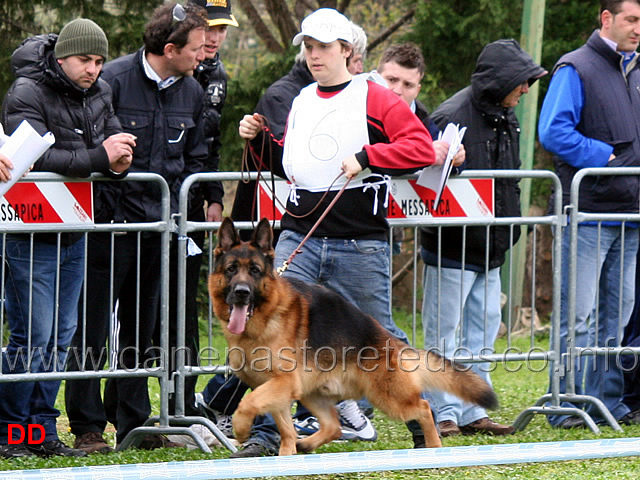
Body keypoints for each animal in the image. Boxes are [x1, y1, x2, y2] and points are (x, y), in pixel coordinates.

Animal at [208, 219, 498, 456]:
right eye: (232, 269)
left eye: (255, 271)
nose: (242, 292)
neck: (265, 319)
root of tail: (391, 341)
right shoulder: (278, 390)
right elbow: (285, 428)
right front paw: (285, 454)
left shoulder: (283, 382)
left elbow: (247, 403)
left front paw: (241, 429)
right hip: (313, 394)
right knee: (334, 426)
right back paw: (307, 444)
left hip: (387, 398)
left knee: (424, 407)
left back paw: (434, 447)